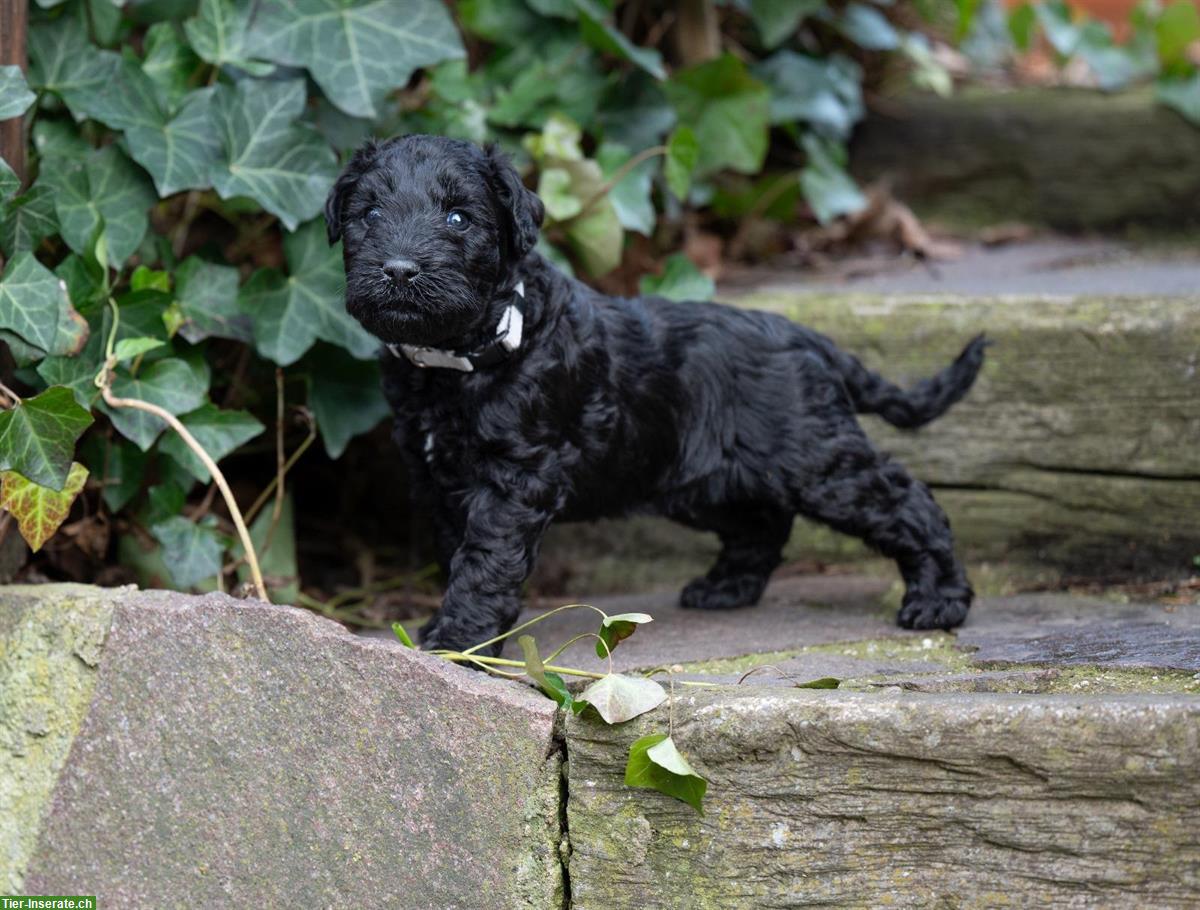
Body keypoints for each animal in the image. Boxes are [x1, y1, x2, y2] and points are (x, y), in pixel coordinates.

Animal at [324, 135, 988, 657]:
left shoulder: (515, 478)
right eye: (370, 213)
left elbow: (485, 559)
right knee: (763, 524)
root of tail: (808, 338)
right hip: (702, 478)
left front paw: (460, 639)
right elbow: (455, 550)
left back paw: (938, 600)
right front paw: (450, 626)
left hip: (817, 461)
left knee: (906, 501)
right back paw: (725, 589)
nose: (400, 271)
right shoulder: (437, 480)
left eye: (459, 218)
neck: (462, 356)